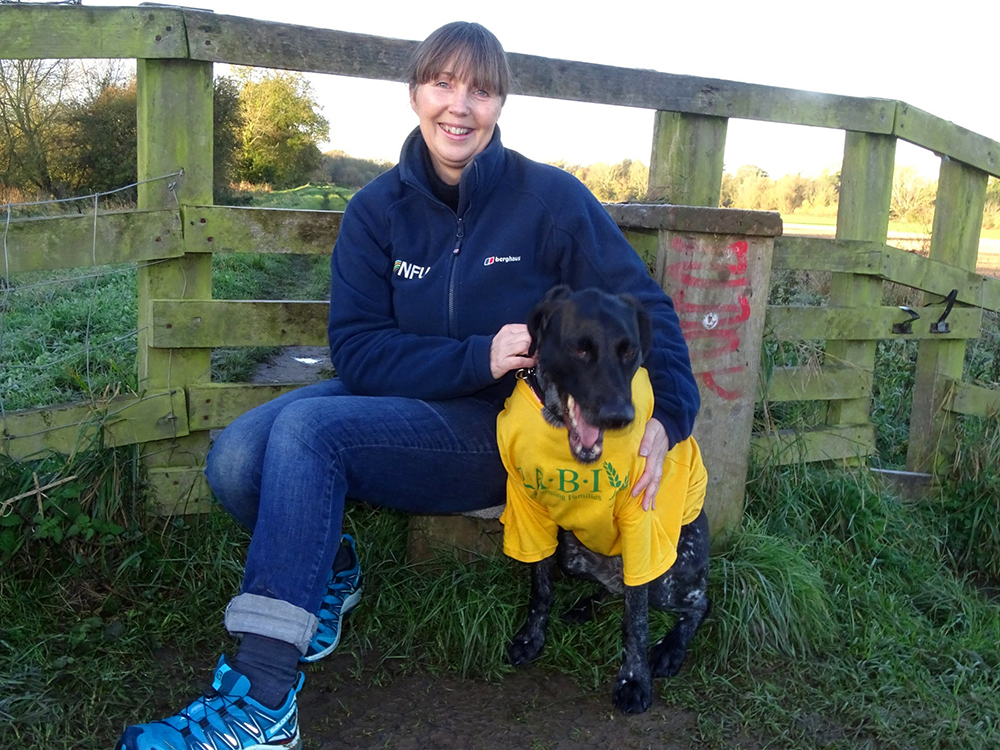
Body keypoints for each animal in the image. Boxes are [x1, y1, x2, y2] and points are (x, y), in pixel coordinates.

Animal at [496, 284, 708, 712]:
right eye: (580, 349)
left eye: (629, 351)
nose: (618, 417)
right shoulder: (528, 509)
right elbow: (540, 588)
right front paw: (532, 637)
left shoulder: (640, 524)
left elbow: (636, 621)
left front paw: (634, 679)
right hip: (572, 553)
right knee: (616, 589)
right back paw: (586, 604)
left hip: (670, 574)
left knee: (696, 603)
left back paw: (671, 648)